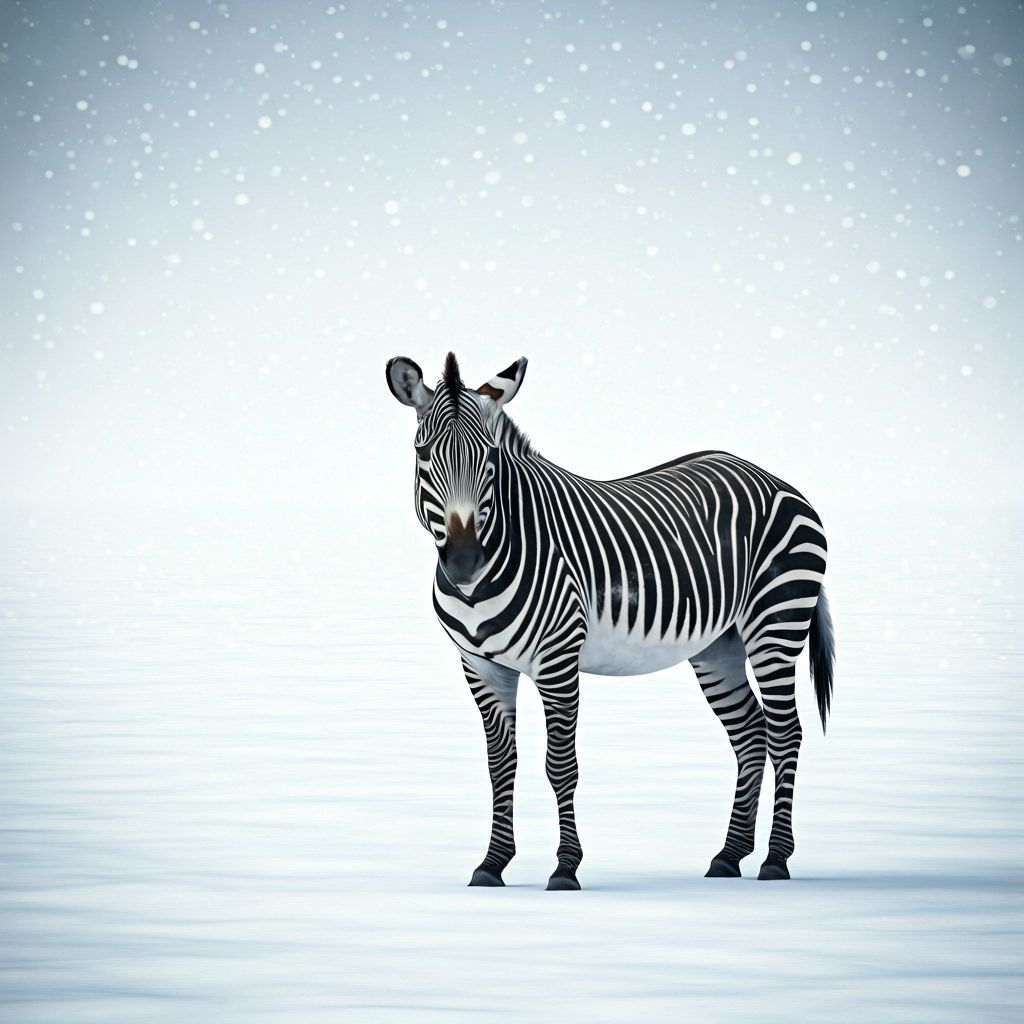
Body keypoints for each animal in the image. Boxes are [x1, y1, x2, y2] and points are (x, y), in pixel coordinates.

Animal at [386, 352, 835, 891]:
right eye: (423, 453)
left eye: (490, 458)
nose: (464, 561)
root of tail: (774, 478)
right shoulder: (481, 666)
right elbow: (501, 767)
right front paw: (492, 865)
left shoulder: (558, 659)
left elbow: (560, 765)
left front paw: (565, 867)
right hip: (718, 646)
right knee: (750, 733)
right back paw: (729, 856)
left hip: (776, 624)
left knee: (786, 733)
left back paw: (775, 859)